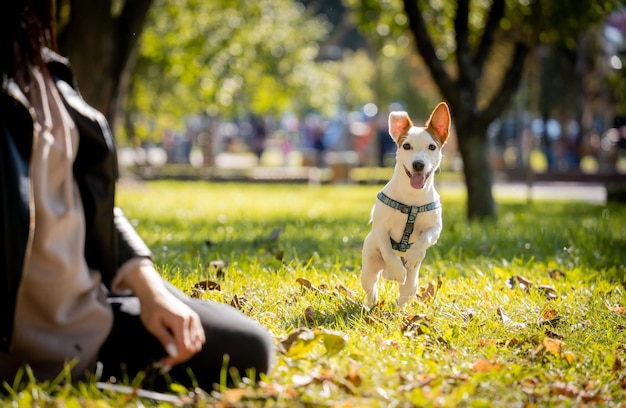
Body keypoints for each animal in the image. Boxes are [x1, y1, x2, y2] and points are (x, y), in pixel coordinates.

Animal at [360, 102, 448, 306]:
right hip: (370, 263)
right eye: (407, 146)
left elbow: (425, 239)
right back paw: (372, 302)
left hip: (412, 284)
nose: (418, 164)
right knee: (371, 285)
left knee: (405, 294)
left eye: (432, 147)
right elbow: (388, 251)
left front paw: (414, 254)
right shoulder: (380, 229)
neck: (412, 197)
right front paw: (398, 270)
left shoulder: (435, 228)